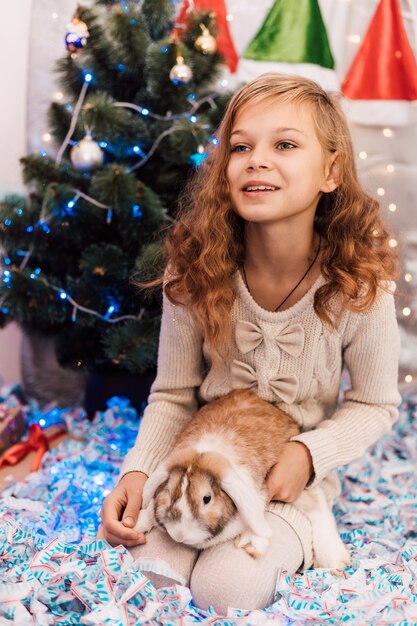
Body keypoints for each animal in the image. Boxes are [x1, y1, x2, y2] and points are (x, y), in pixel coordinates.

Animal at [135, 388, 350, 564]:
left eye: (207, 498)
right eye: (170, 492)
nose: (180, 535)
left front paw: (251, 545)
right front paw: (138, 524)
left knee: (317, 504)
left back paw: (336, 561)